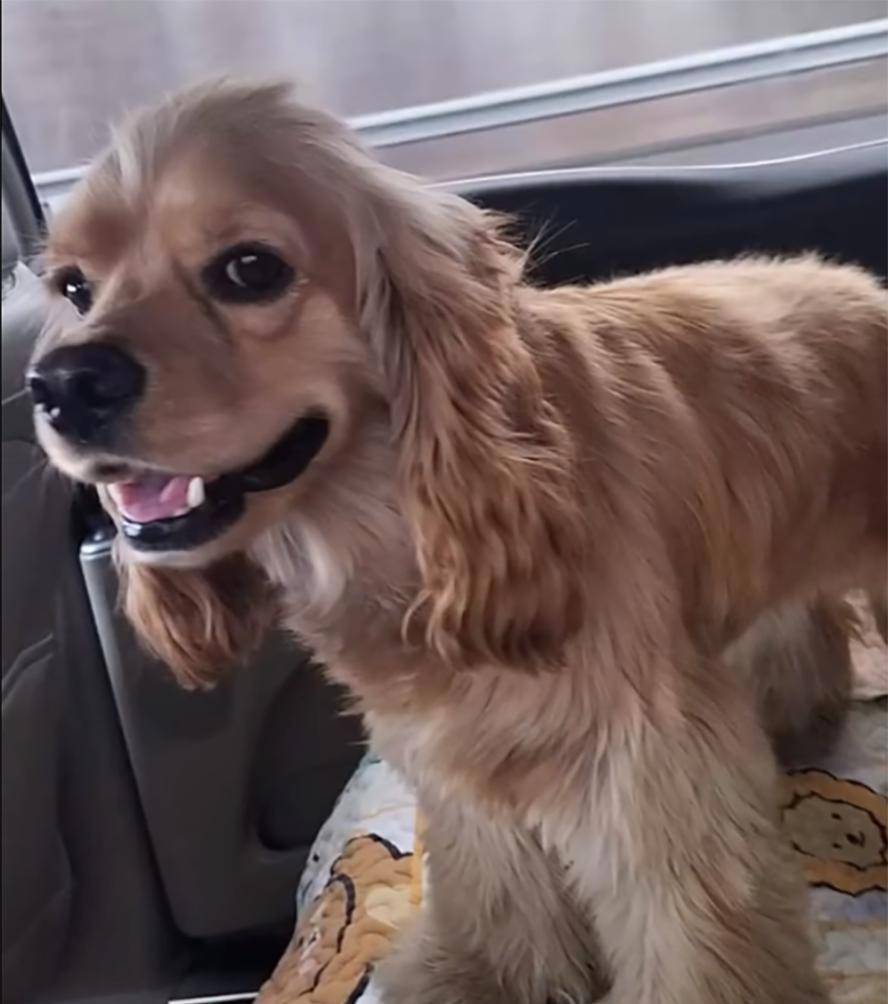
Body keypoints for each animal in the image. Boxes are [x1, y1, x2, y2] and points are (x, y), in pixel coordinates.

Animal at [29, 80, 886, 1003]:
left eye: (250, 269)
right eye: (74, 287)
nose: (61, 384)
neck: (389, 519)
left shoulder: (643, 759)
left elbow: (689, 926)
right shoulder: (453, 745)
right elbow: (498, 881)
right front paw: (489, 977)